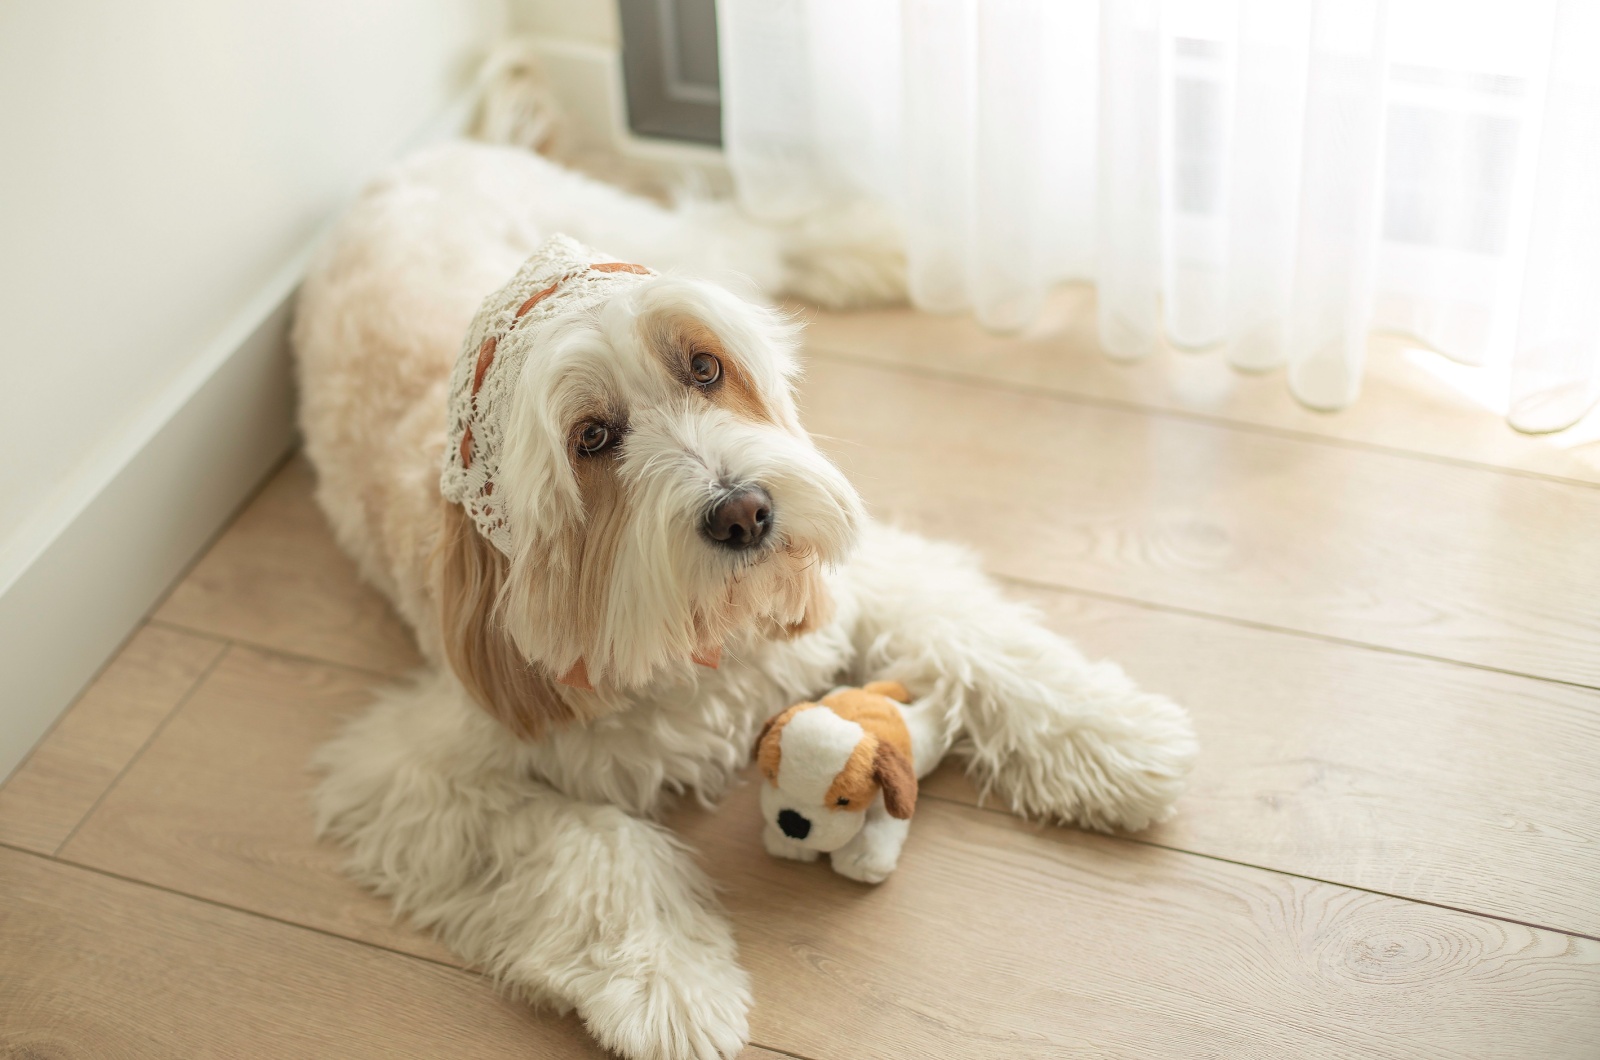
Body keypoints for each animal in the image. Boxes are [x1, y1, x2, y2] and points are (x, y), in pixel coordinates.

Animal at [297, 139, 1203, 1060]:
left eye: (706, 368)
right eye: (592, 437)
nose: (744, 512)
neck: (706, 640)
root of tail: (417, 156)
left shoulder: (851, 589)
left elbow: (980, 644)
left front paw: (1110, 741)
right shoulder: (420, 780)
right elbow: (592, 843)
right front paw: (668, 982)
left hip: (656, 238)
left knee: (750, 229)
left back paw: (881, 246)